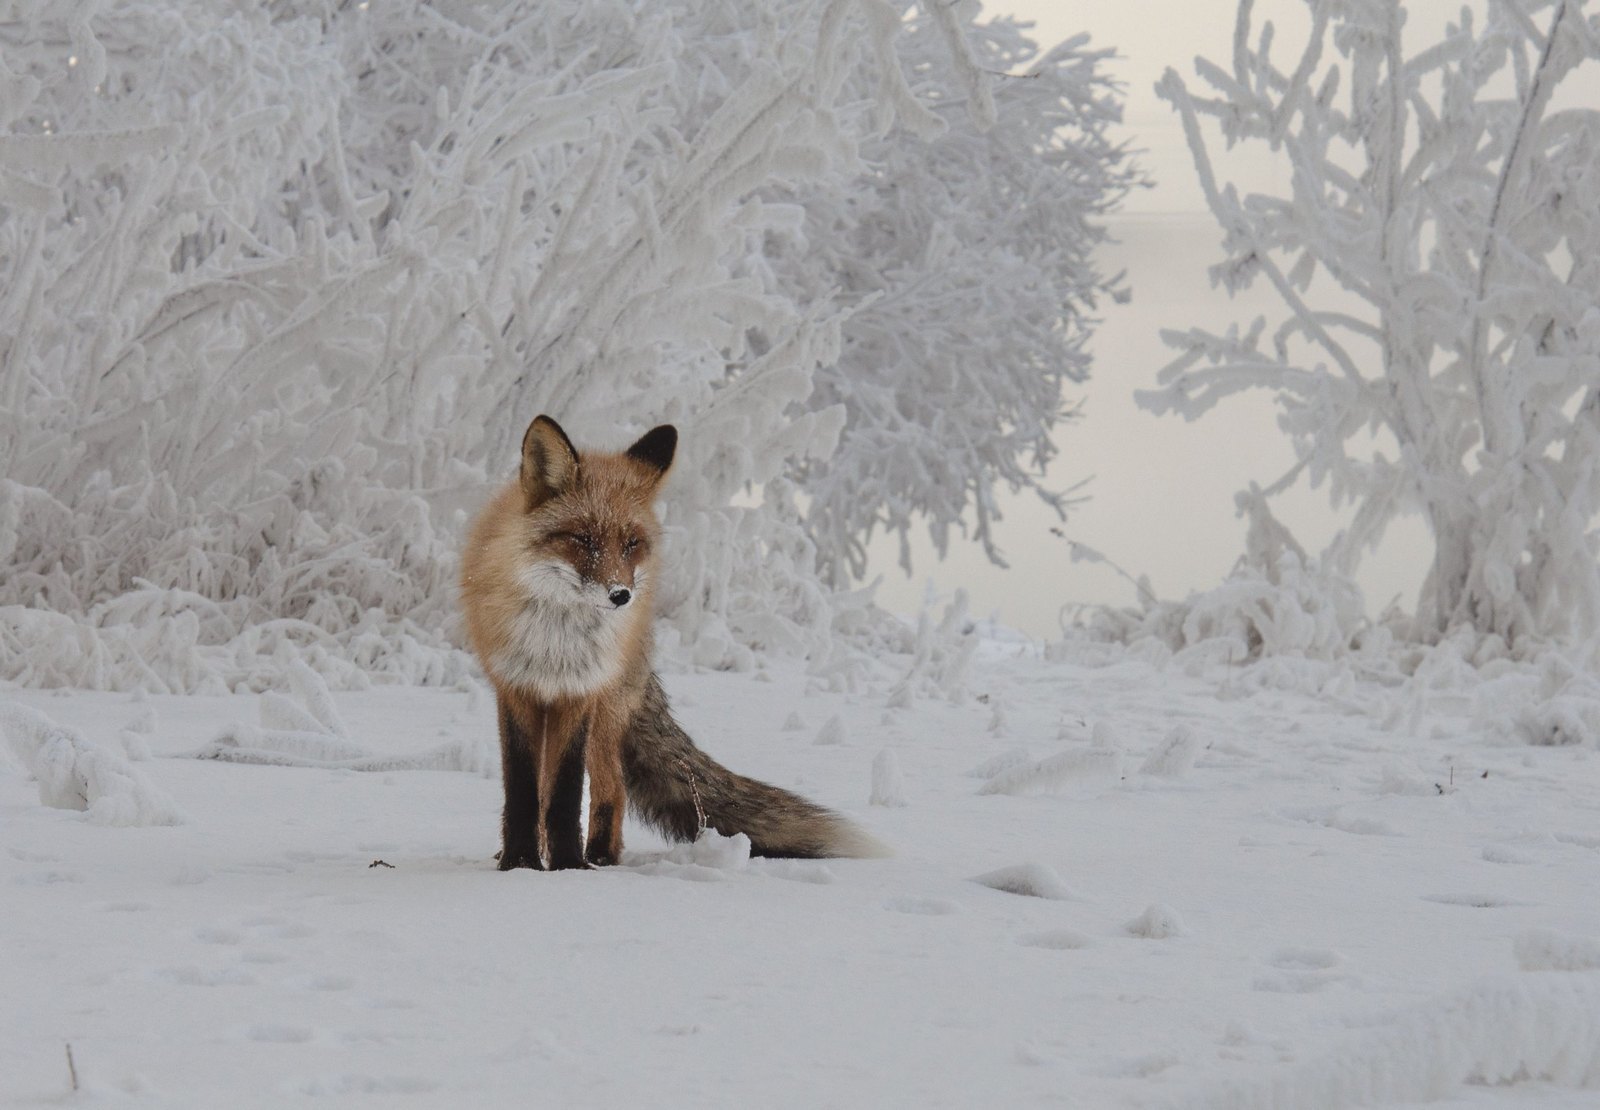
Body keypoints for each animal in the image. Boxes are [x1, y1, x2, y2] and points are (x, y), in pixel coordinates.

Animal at [460, 415, 889, 870]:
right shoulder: (516, 689)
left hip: (605, 714)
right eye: (582, 539)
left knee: (612, 785)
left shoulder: (579, 694)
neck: (555, 640)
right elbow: (524, 790)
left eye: (631, 543)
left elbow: (565, 794)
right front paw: (520, 863)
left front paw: (567, 867)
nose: (621, 596)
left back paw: (600, 857)